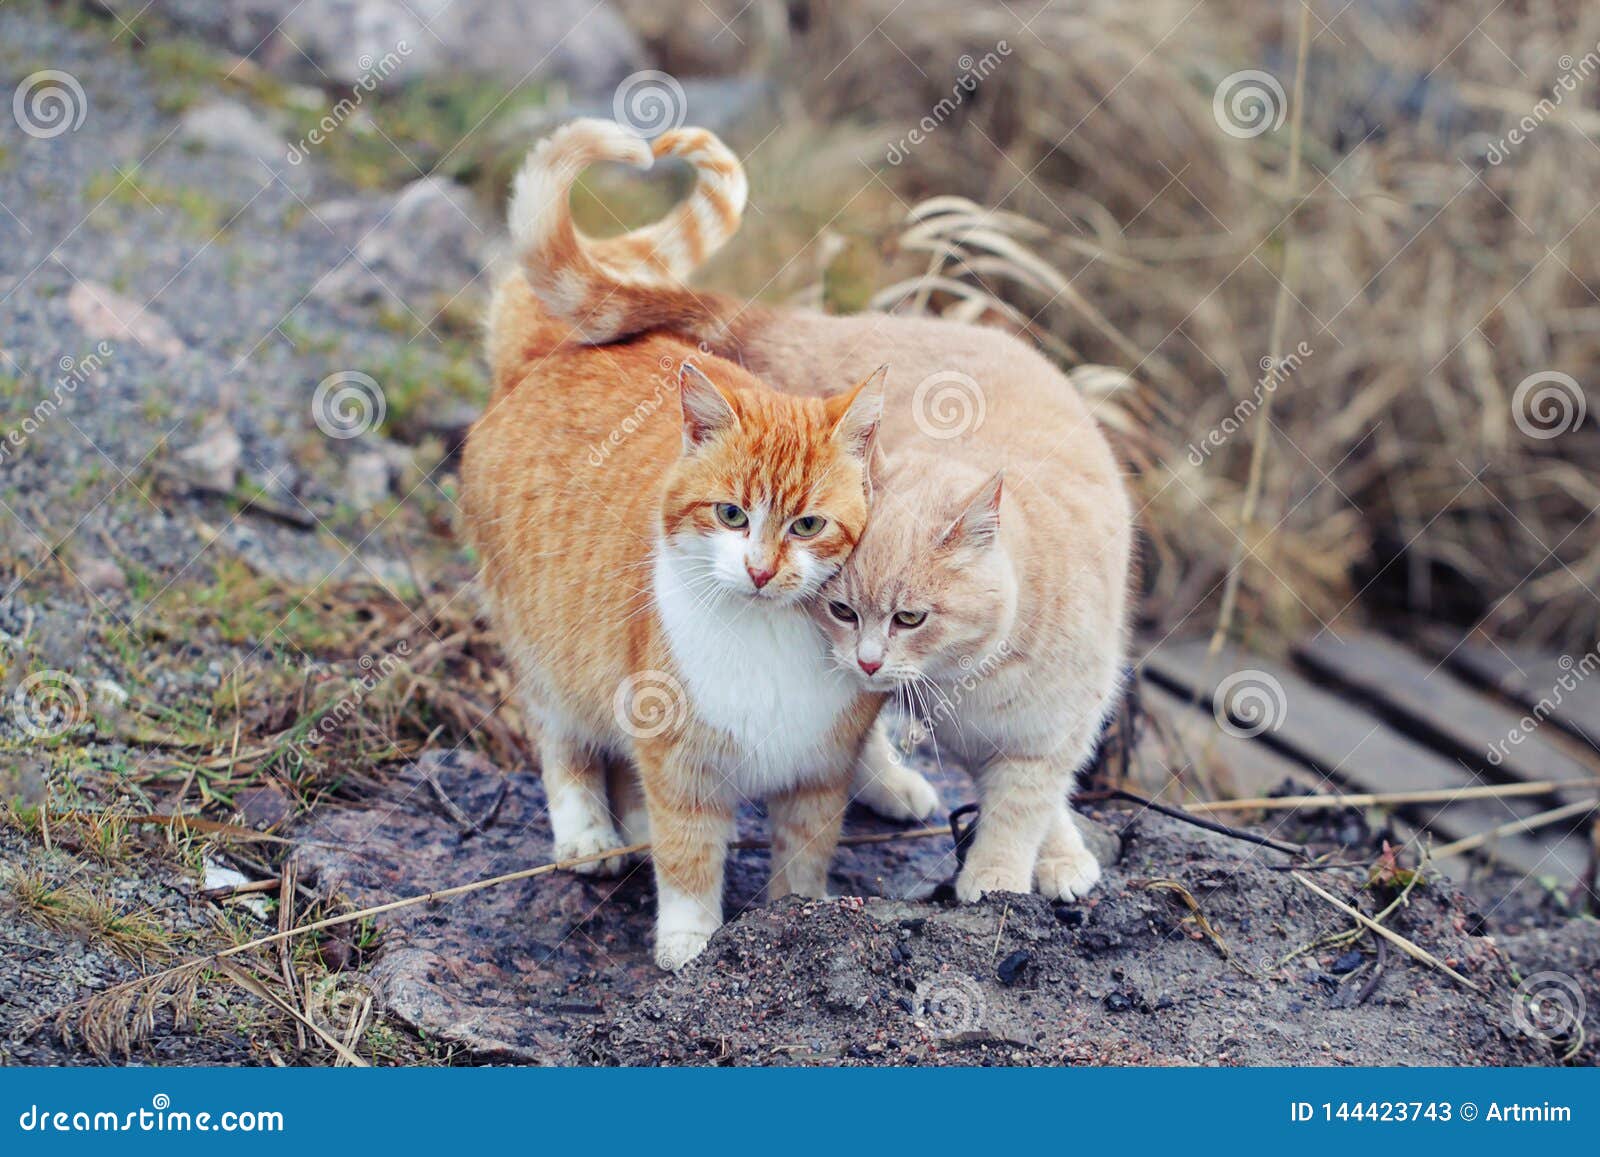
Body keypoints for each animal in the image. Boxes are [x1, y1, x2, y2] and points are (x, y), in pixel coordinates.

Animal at [464, 120, 889, 966]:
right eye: (730, 515)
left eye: (807, 525)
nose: (759, 569)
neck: (765, 640)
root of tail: (551, 347)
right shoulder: (683, 763)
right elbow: (690, 856)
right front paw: (691, 945)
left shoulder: (821, 776)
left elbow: (803, 857)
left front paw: (793, 919)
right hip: (549, 655)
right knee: (564, 743)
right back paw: (592, 836)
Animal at [518, 122, 1132, 908]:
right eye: (843, 610)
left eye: (911, 617)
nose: (869, 657)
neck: (968, 678)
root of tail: (828, 324)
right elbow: (1012, 808)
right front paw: (1001, 877)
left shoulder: (1051, 735)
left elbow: (1029, 803)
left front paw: (1038, 862)